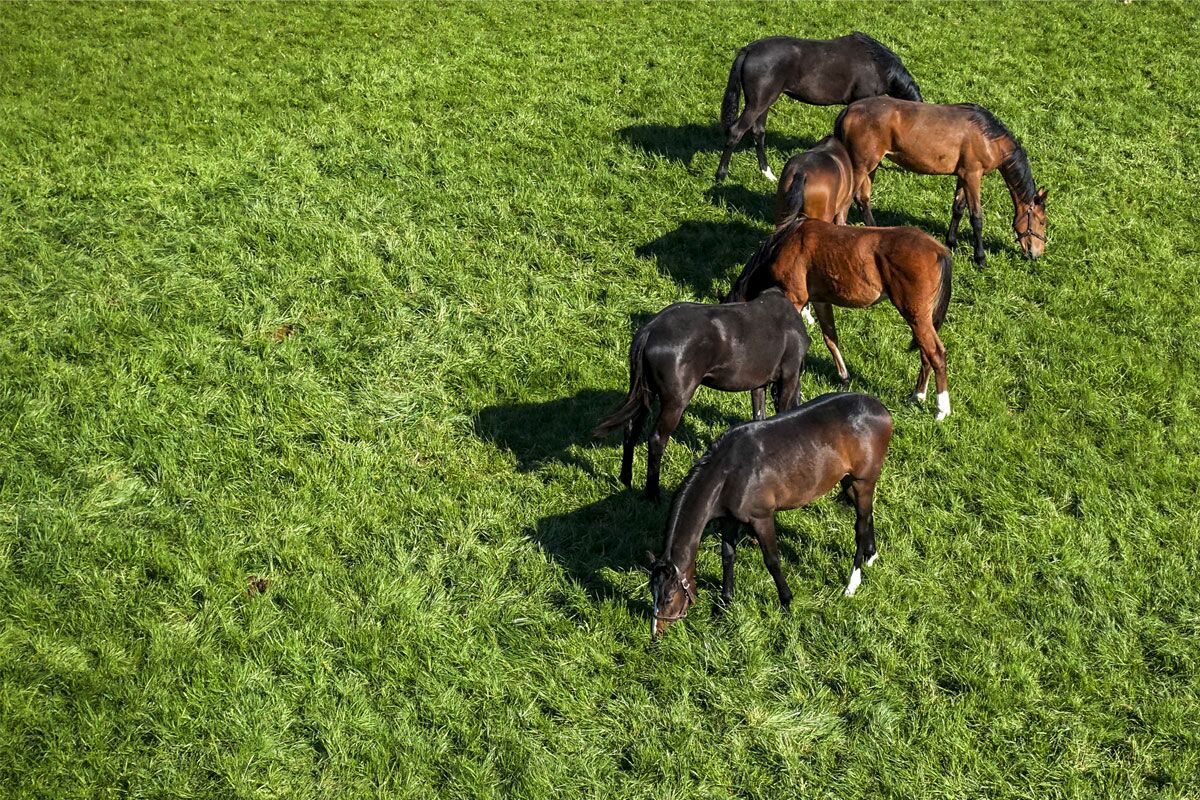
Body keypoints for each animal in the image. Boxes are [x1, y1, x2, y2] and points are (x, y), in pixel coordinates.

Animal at [594, 290, 810, 502]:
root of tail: (650, 329)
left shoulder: (759, 385)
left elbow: (759, 417)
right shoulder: (789, 377)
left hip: (646, 392)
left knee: (631, 429)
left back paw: (625, 479)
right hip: (676, 401)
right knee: (656, 439)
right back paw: (652, 493)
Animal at [648, 392, 893, 640]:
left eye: (667, 598)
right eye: (652, 592)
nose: (656, 633)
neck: (728, 473)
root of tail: (880, 409)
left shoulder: (762, 518)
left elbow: (772, 560)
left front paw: (786, 601)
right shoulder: (729, 518)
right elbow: (727, 555)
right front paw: (725, 603)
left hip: (863, 482)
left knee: (860, 527)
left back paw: (852, 583)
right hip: (848, 481)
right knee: (866, 516)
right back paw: (871, 555)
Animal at [714, 32, 923, 184]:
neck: (878, 64)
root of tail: (749, 49)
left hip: (763, 102)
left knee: (758, 132)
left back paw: (767, 174)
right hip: (757, 103)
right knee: (736, 132)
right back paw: (721, 176)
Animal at [725, 216, 953, 420]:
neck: (787, 242)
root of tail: (938, 250)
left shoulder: (795, 298)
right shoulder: (820, 301)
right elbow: (830, 338)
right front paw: (844, 377)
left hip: (915, 314)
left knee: (935, 353)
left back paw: (941, 409)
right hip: (921, 318)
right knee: (925, 352)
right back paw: (918, 395)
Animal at [834, 97, 1048, 266]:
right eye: (1042, 221)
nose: (1036, 254)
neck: (989, 137)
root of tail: (849, 110)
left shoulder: (963, 175)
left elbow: (958, 209)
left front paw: (951, 243)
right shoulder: (973, 175)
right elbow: (976, 217)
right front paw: (980, 258)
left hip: (871, 167)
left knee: (863, 200)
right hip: (861, 167)